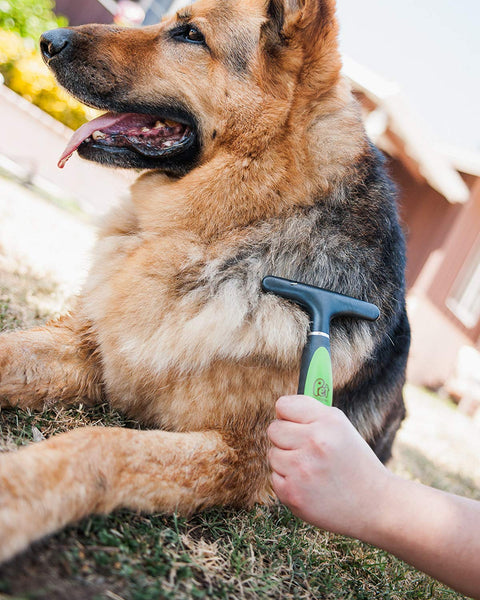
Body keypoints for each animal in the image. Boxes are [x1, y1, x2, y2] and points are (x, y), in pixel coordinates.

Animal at [0, 0, 408, 564]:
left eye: (191, 35)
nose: (47, 40)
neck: (218, 233)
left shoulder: (241, 456)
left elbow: (102, 443)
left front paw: (15, 495)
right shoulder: (88, 351)